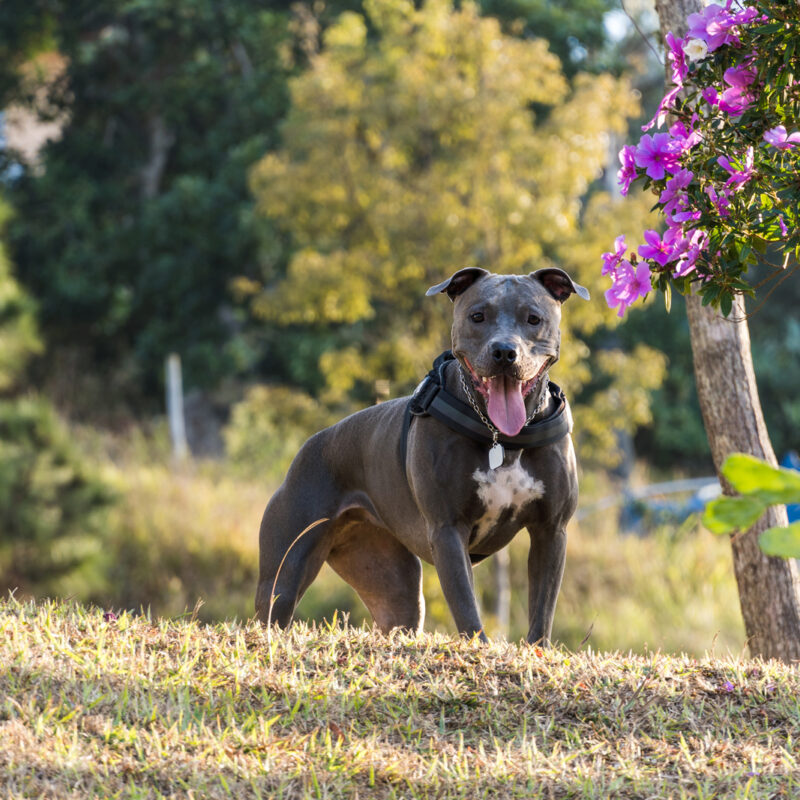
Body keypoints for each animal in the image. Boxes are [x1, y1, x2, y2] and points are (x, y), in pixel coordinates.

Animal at [256, 268, 588, 644]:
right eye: (478, 316)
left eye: (533, 319)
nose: (505, 351)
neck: (501, 437)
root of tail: (312, 443)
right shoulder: (448, 530)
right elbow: (466, 604)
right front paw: (479, 647)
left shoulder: (551, 530)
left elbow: (542, 609)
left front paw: (536, 650)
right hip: (284, 573)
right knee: (275, 606)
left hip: (394, 587)